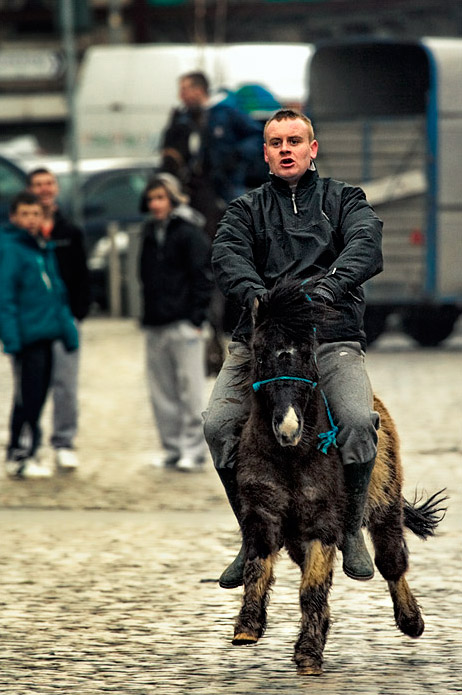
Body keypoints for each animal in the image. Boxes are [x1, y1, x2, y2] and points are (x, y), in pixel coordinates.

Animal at [231, 278, 446, 676]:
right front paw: (248, 627)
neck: (291, 456)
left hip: (385, 506)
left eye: (308, 354)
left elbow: (311, 588)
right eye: (259, 354)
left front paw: (308, 653)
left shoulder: (322, 524)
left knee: (392, 562)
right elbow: (258, 568)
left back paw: (411, 620)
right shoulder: (263, 516)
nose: (288, 427)